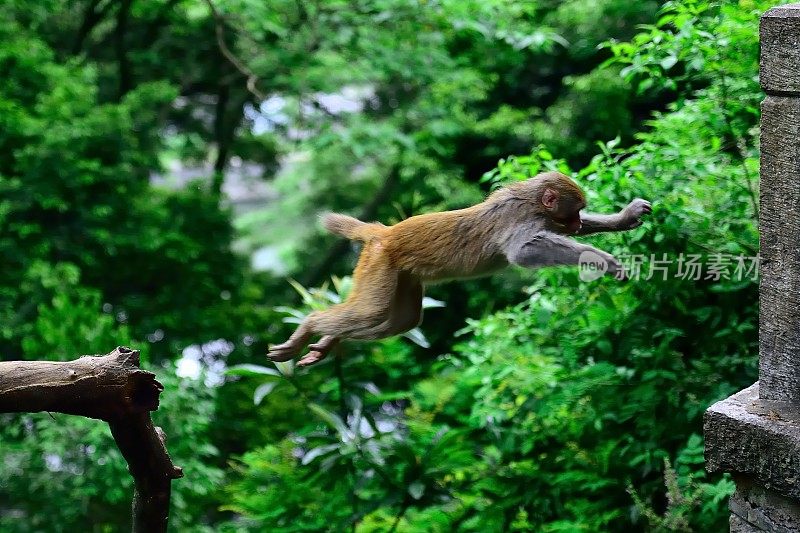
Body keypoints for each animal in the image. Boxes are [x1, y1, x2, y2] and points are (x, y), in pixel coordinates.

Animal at [268, 170, 648, 366]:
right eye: (574, 211)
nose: (578, 220)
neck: (531, 203)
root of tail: (383, 233)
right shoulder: (519, 219)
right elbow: (522, 253)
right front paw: (599, 258)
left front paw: (624, 218)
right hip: (379, 264)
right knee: (371, 311)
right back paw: (311, 325)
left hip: (402, 274)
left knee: (401, 320)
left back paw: (327, 340)